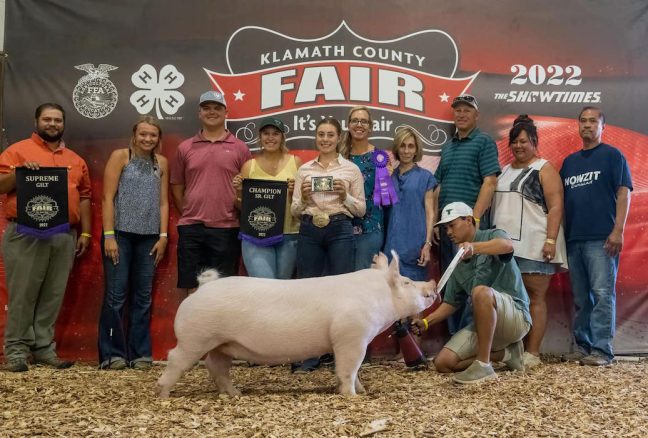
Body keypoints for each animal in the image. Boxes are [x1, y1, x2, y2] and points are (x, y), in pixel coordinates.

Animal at [157, 252, 438, 398]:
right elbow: (349, 368)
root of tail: (203, 288)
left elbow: (354, 370)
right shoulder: (351, 336)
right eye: (406, 282)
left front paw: (363, 391)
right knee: (176, 358)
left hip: (222, 343)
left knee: (215, 366)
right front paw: (353, 396)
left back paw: (235, 393)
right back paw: (162, 394)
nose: (433, 283)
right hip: (195, 337)